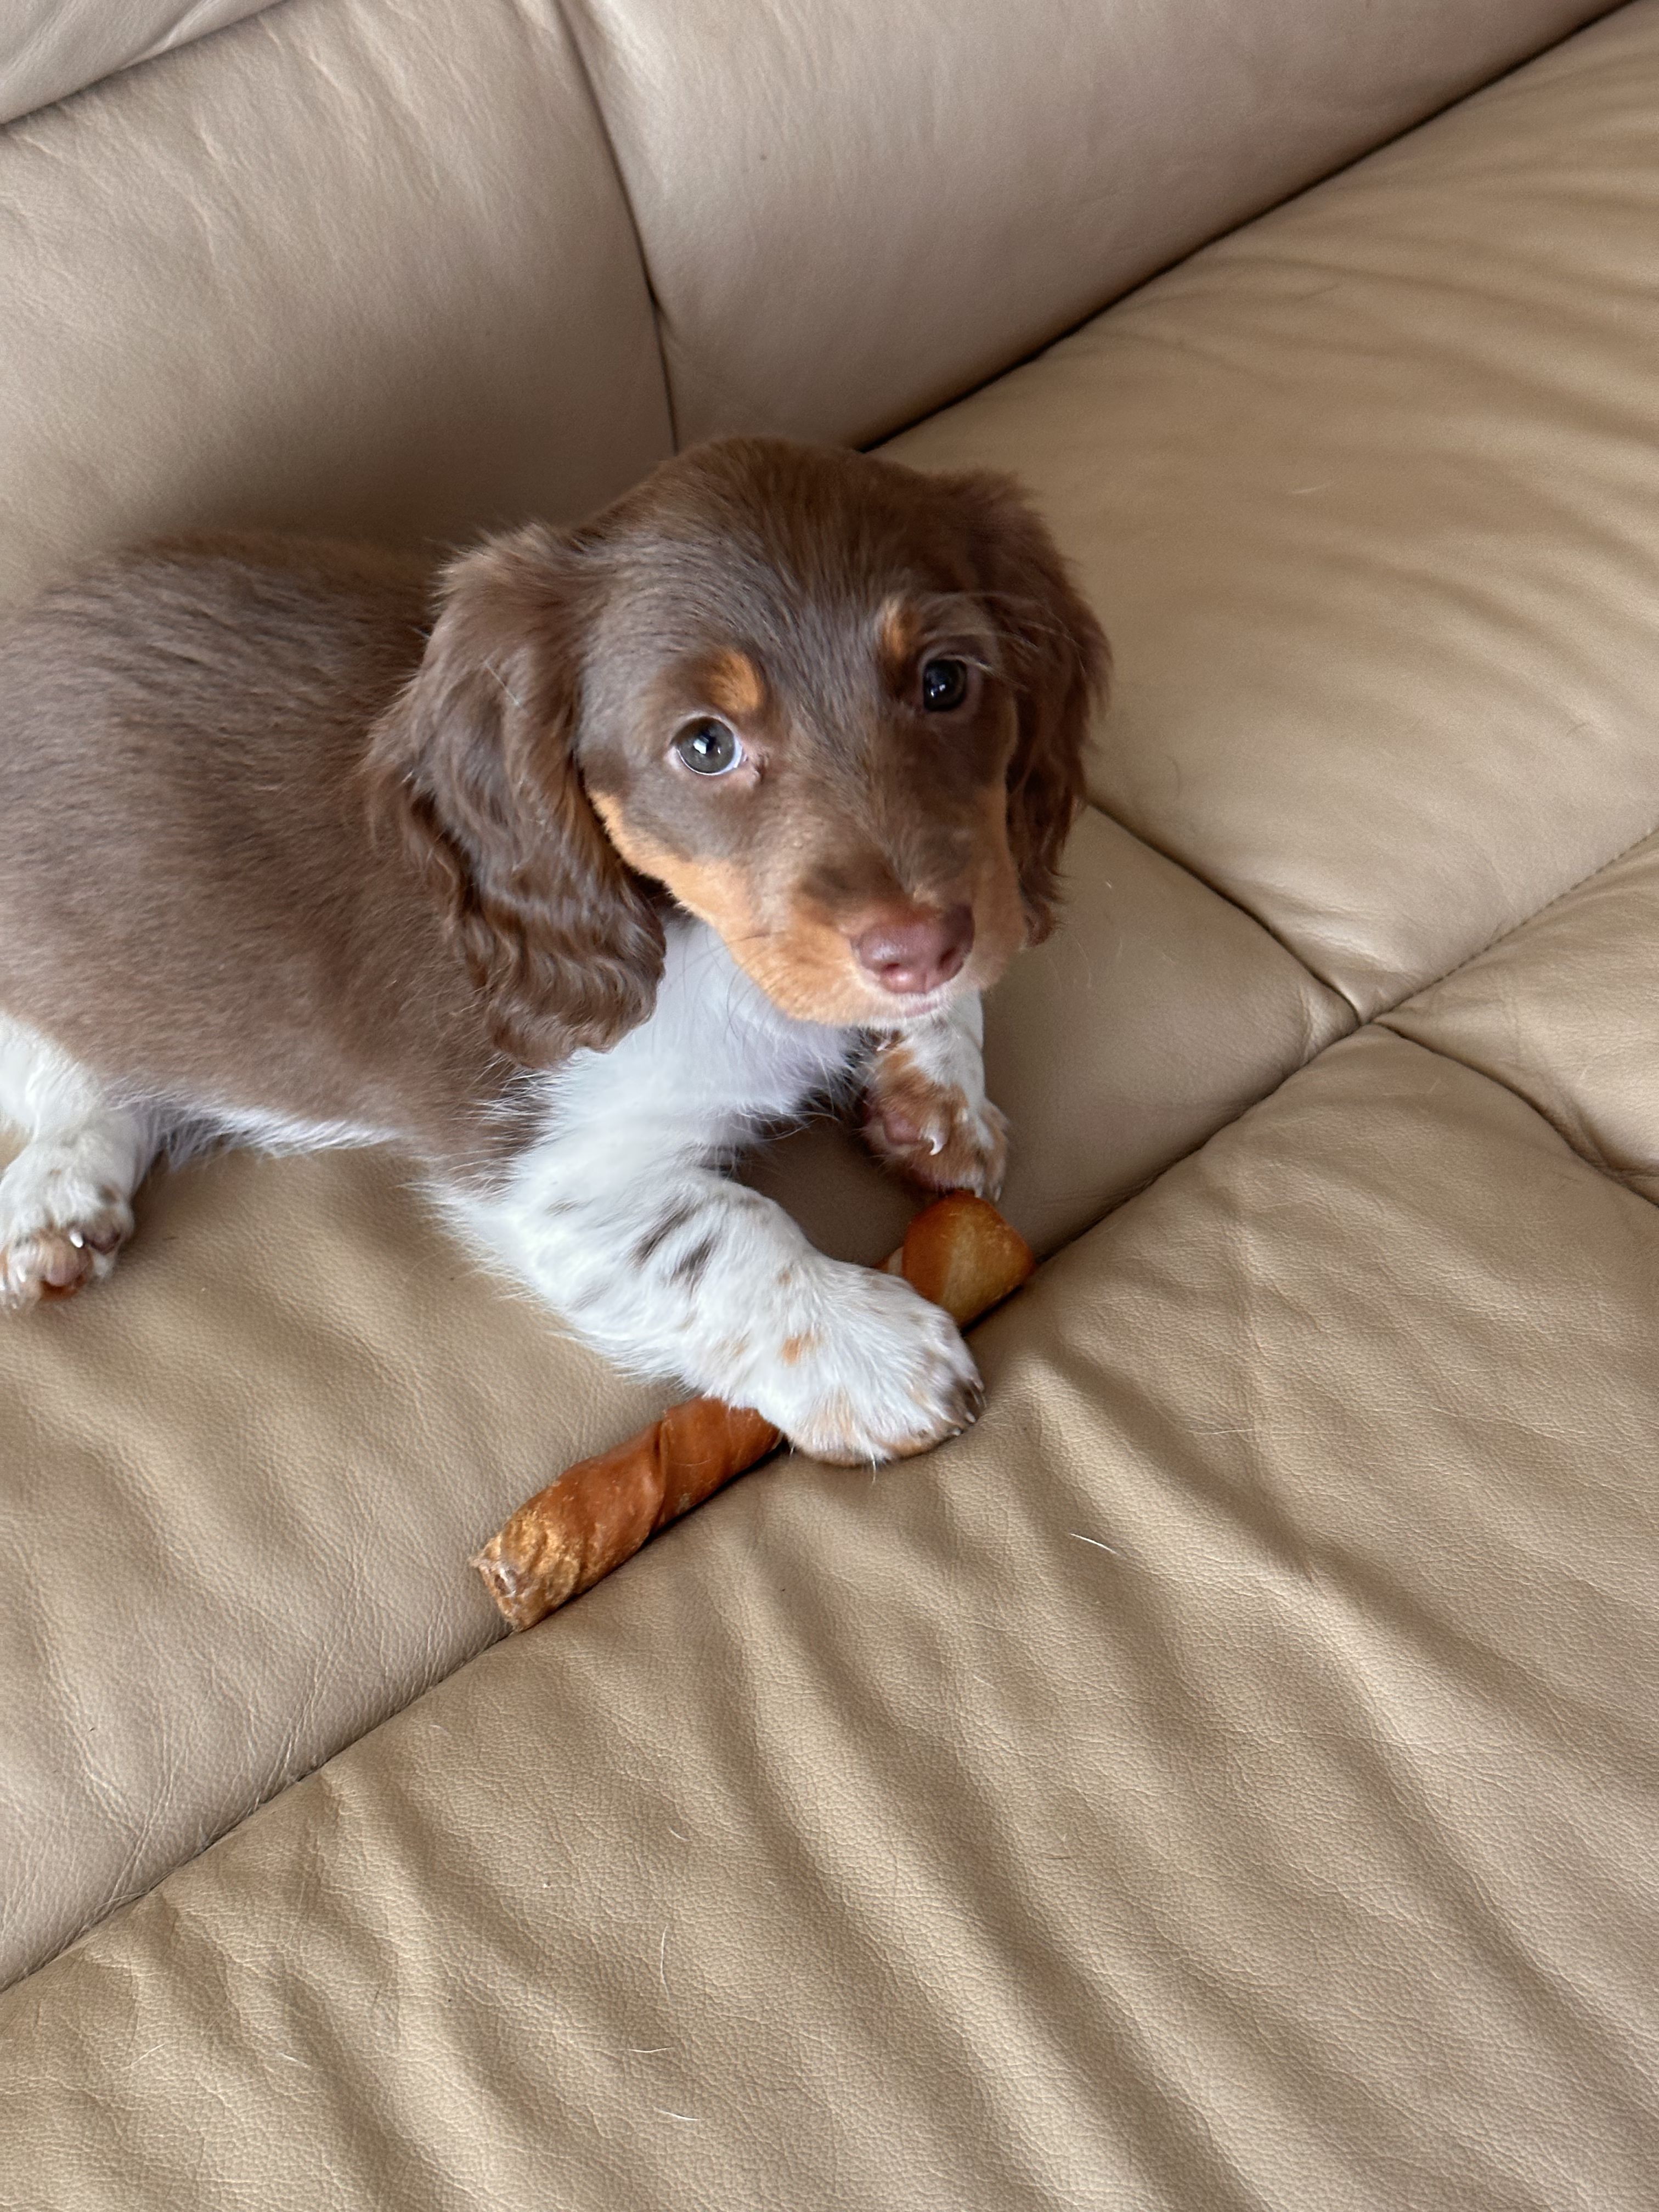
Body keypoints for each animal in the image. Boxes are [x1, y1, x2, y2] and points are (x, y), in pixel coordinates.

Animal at [0, 437, 1106, 1462]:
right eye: (705, 744)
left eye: (945, 681)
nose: (920, 948)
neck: (703, 943)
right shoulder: (559, 1179)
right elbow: (723, 1240)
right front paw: (873, 1353)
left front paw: (937, 1086)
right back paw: (56, 1194)